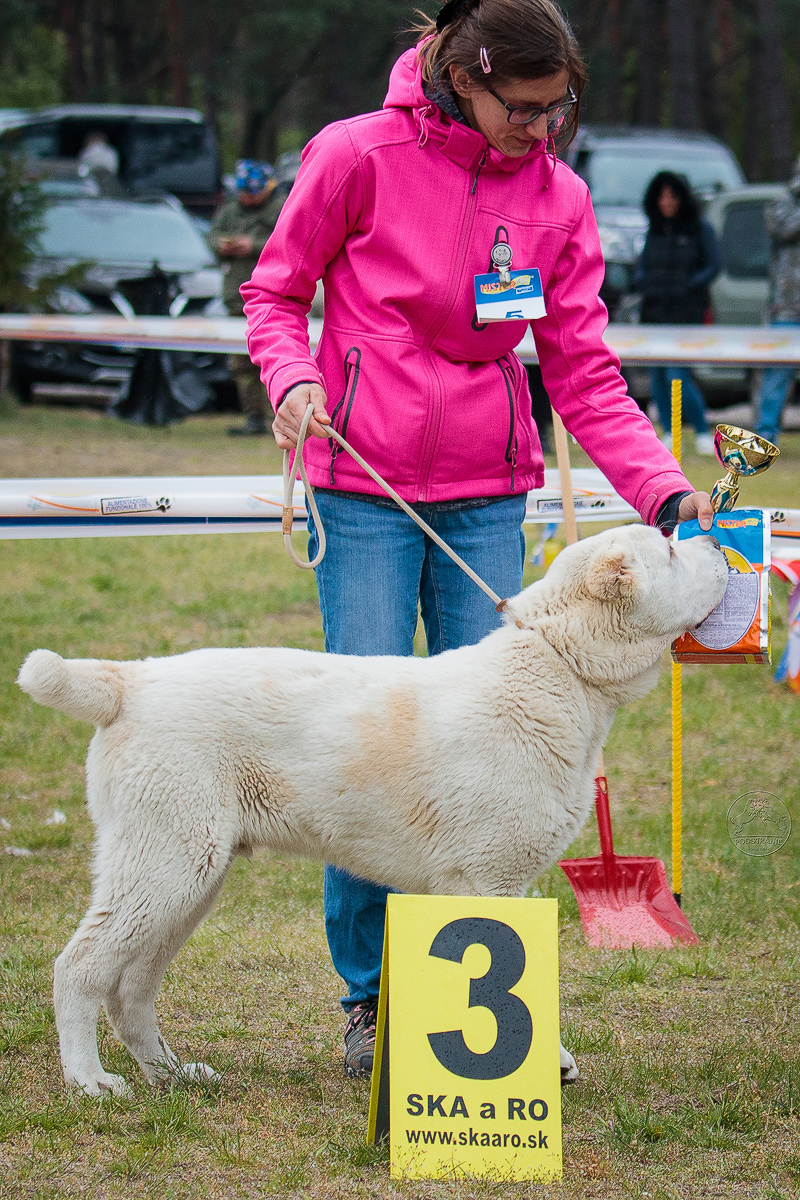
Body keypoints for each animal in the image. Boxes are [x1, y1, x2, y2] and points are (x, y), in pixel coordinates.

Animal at [15, 525, 729, 1099]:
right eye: (669, 550)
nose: (720, 545)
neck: (557, 665)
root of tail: (128, 681)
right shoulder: (485, 878)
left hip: (189, 877)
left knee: (131, 987)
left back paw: (174, 1073)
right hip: (164, 866)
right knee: (79, 969)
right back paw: (89, 1080)